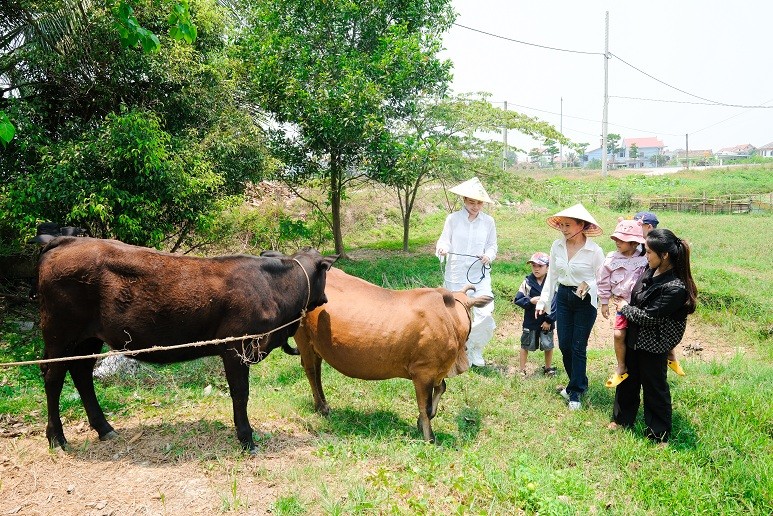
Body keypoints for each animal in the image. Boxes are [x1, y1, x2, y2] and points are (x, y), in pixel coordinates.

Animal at [37, 238, 336, 452]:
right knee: (53, 379)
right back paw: (57, 438)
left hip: (87, 339)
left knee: (81, 374)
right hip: (60, 335)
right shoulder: (235, 349)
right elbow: (240, 394)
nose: (326, 299)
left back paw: (104, 428)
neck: (273, 289)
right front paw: (246, 439)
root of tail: (65, 241)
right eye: (326, 274)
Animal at [292, 268, 492, 442]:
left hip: (316, 343)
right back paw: (321, 407)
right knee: (311, 370)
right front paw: (429, 438)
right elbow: (426, 407)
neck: (451, 319)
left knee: (317, 369)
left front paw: (420, 424)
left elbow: (441, 388)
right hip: (302, 337)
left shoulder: (438, 370)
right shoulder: (423, 371)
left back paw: (323, 404)